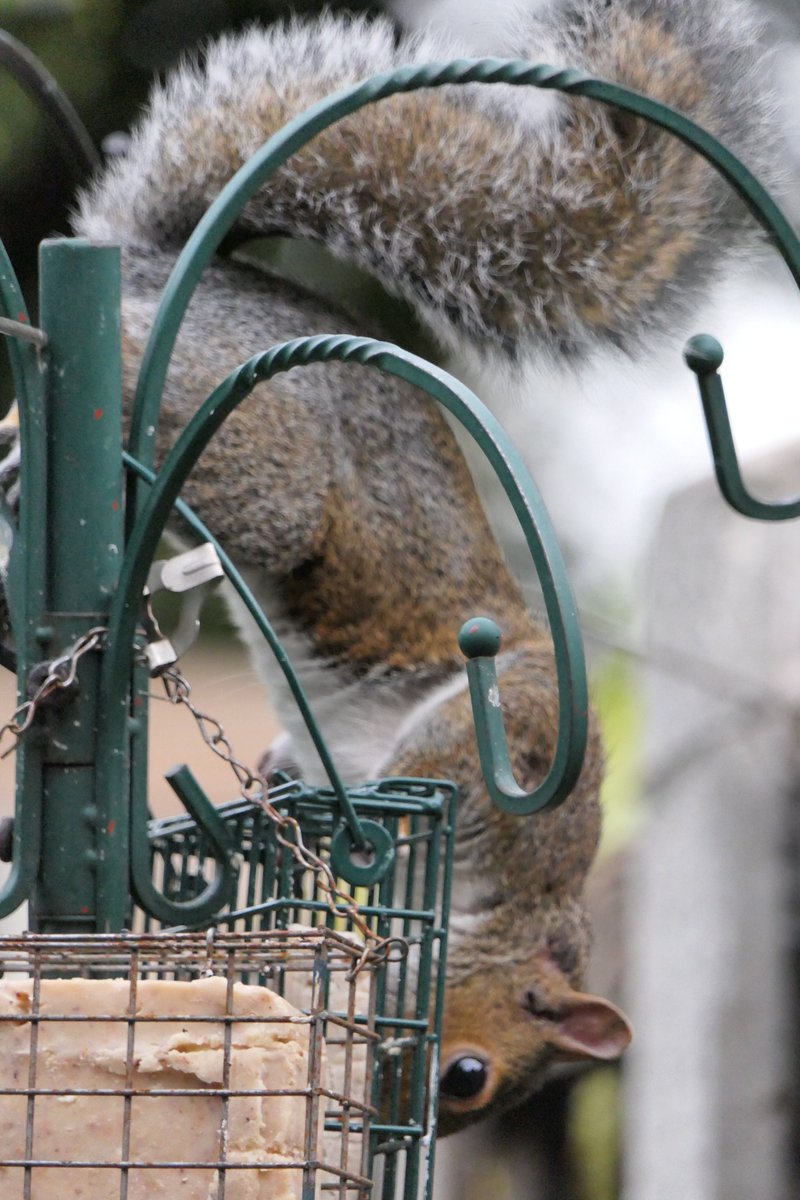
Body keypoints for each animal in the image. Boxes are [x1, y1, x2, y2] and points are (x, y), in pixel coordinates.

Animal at [67, 0, 777, 1131]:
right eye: (467, 1075)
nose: (382, 1118)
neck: (521, 900)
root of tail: (167, 270)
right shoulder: (504, 736)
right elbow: (418, 767)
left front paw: (281, 779)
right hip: (267, 455)